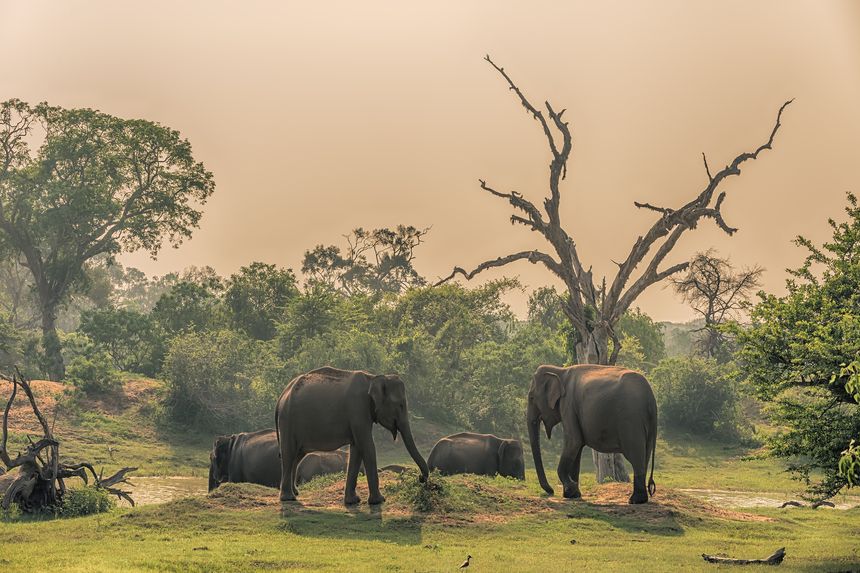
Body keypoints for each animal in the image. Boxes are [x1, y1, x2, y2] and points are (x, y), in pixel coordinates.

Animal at [276, 366, 430, 504]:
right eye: (400, 405)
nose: (420, 478)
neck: (373, 378)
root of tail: (282, 395)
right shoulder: (358, 408)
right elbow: (367, 445)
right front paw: (379, 501)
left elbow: (357, 448)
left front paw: (353, 501)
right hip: (288, 420)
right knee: (289, 453)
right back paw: (288, 498)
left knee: (297, 455)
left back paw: (295, 493)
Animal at [524, 364, 660, 502]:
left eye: (531, 398)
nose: (551, 491)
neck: (560, 371)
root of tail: (651, 398)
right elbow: (577, 448)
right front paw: (573, 494)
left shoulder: (568, 404)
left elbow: (574, 441)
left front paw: (571, 490)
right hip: (646, 424)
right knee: (645, 455)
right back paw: (640, 499)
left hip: (631, 420)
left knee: (635, 455)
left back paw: (635, 500)